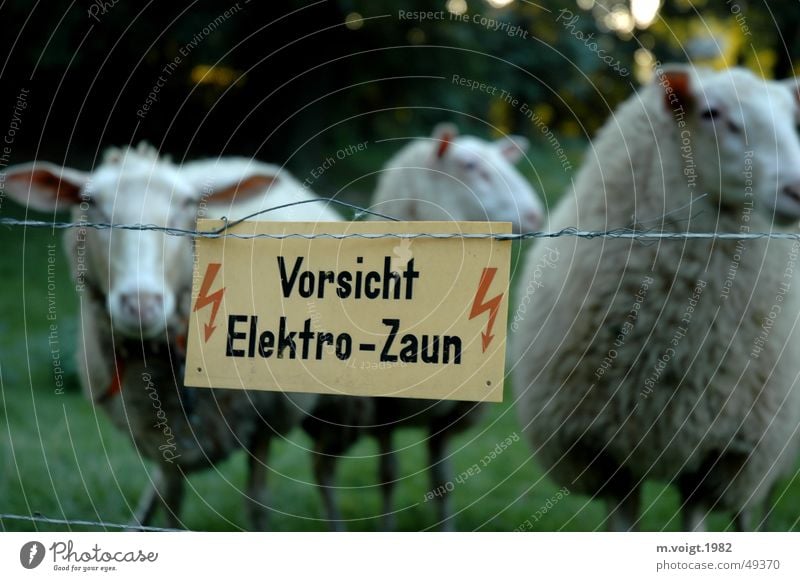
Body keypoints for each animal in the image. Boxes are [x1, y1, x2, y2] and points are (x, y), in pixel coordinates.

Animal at [0, 143, 338, 528]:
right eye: (90, 202)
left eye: (188, 203)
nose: (141, 303)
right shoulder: (161, 435)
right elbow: (171, 506)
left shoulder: (262, 422)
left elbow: (257, 504)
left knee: (325, 472)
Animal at [304, 123, 544, 532]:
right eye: (469, 166)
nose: (535, 215)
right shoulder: (383, 414)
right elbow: (387, 476)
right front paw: (386, 529)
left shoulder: (443, 419)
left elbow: (442, 483)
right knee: (321, 471)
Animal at [510, 65, 800, 532]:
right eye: (712, 113)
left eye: (792, 120)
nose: (796, 190)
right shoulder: (605, 455)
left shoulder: (722, 453)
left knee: (750, 511)